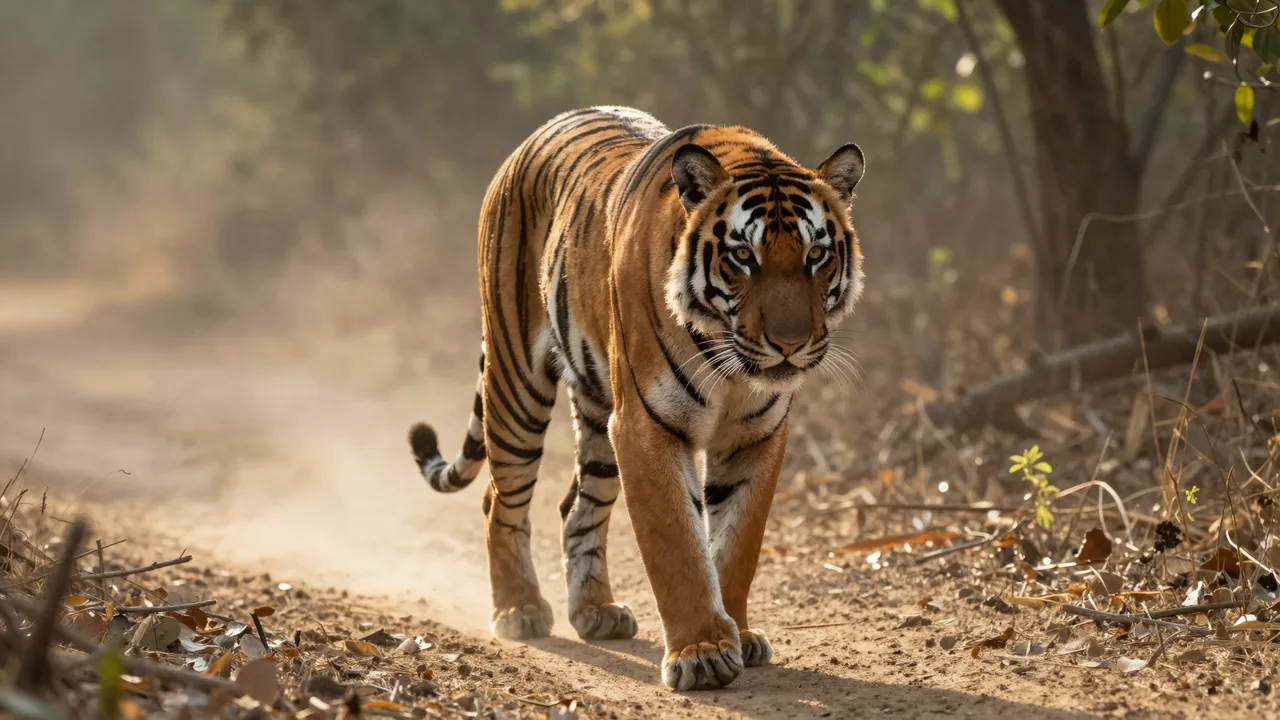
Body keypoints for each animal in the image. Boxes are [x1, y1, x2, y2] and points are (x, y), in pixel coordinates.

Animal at [408, 106, 864, 691]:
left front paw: (738, 632)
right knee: (500, 498)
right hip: (517, 384)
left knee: (576, 505)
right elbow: (678, 546)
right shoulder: (647, 425)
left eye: (817, 255)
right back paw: (518, 610)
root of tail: (537, 133)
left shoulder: (757, 436)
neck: (733, 370)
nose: (789, 344)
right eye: (743, 256)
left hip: (598, 414)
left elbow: (737, 544)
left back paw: (595, 611)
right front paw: (702, 652)